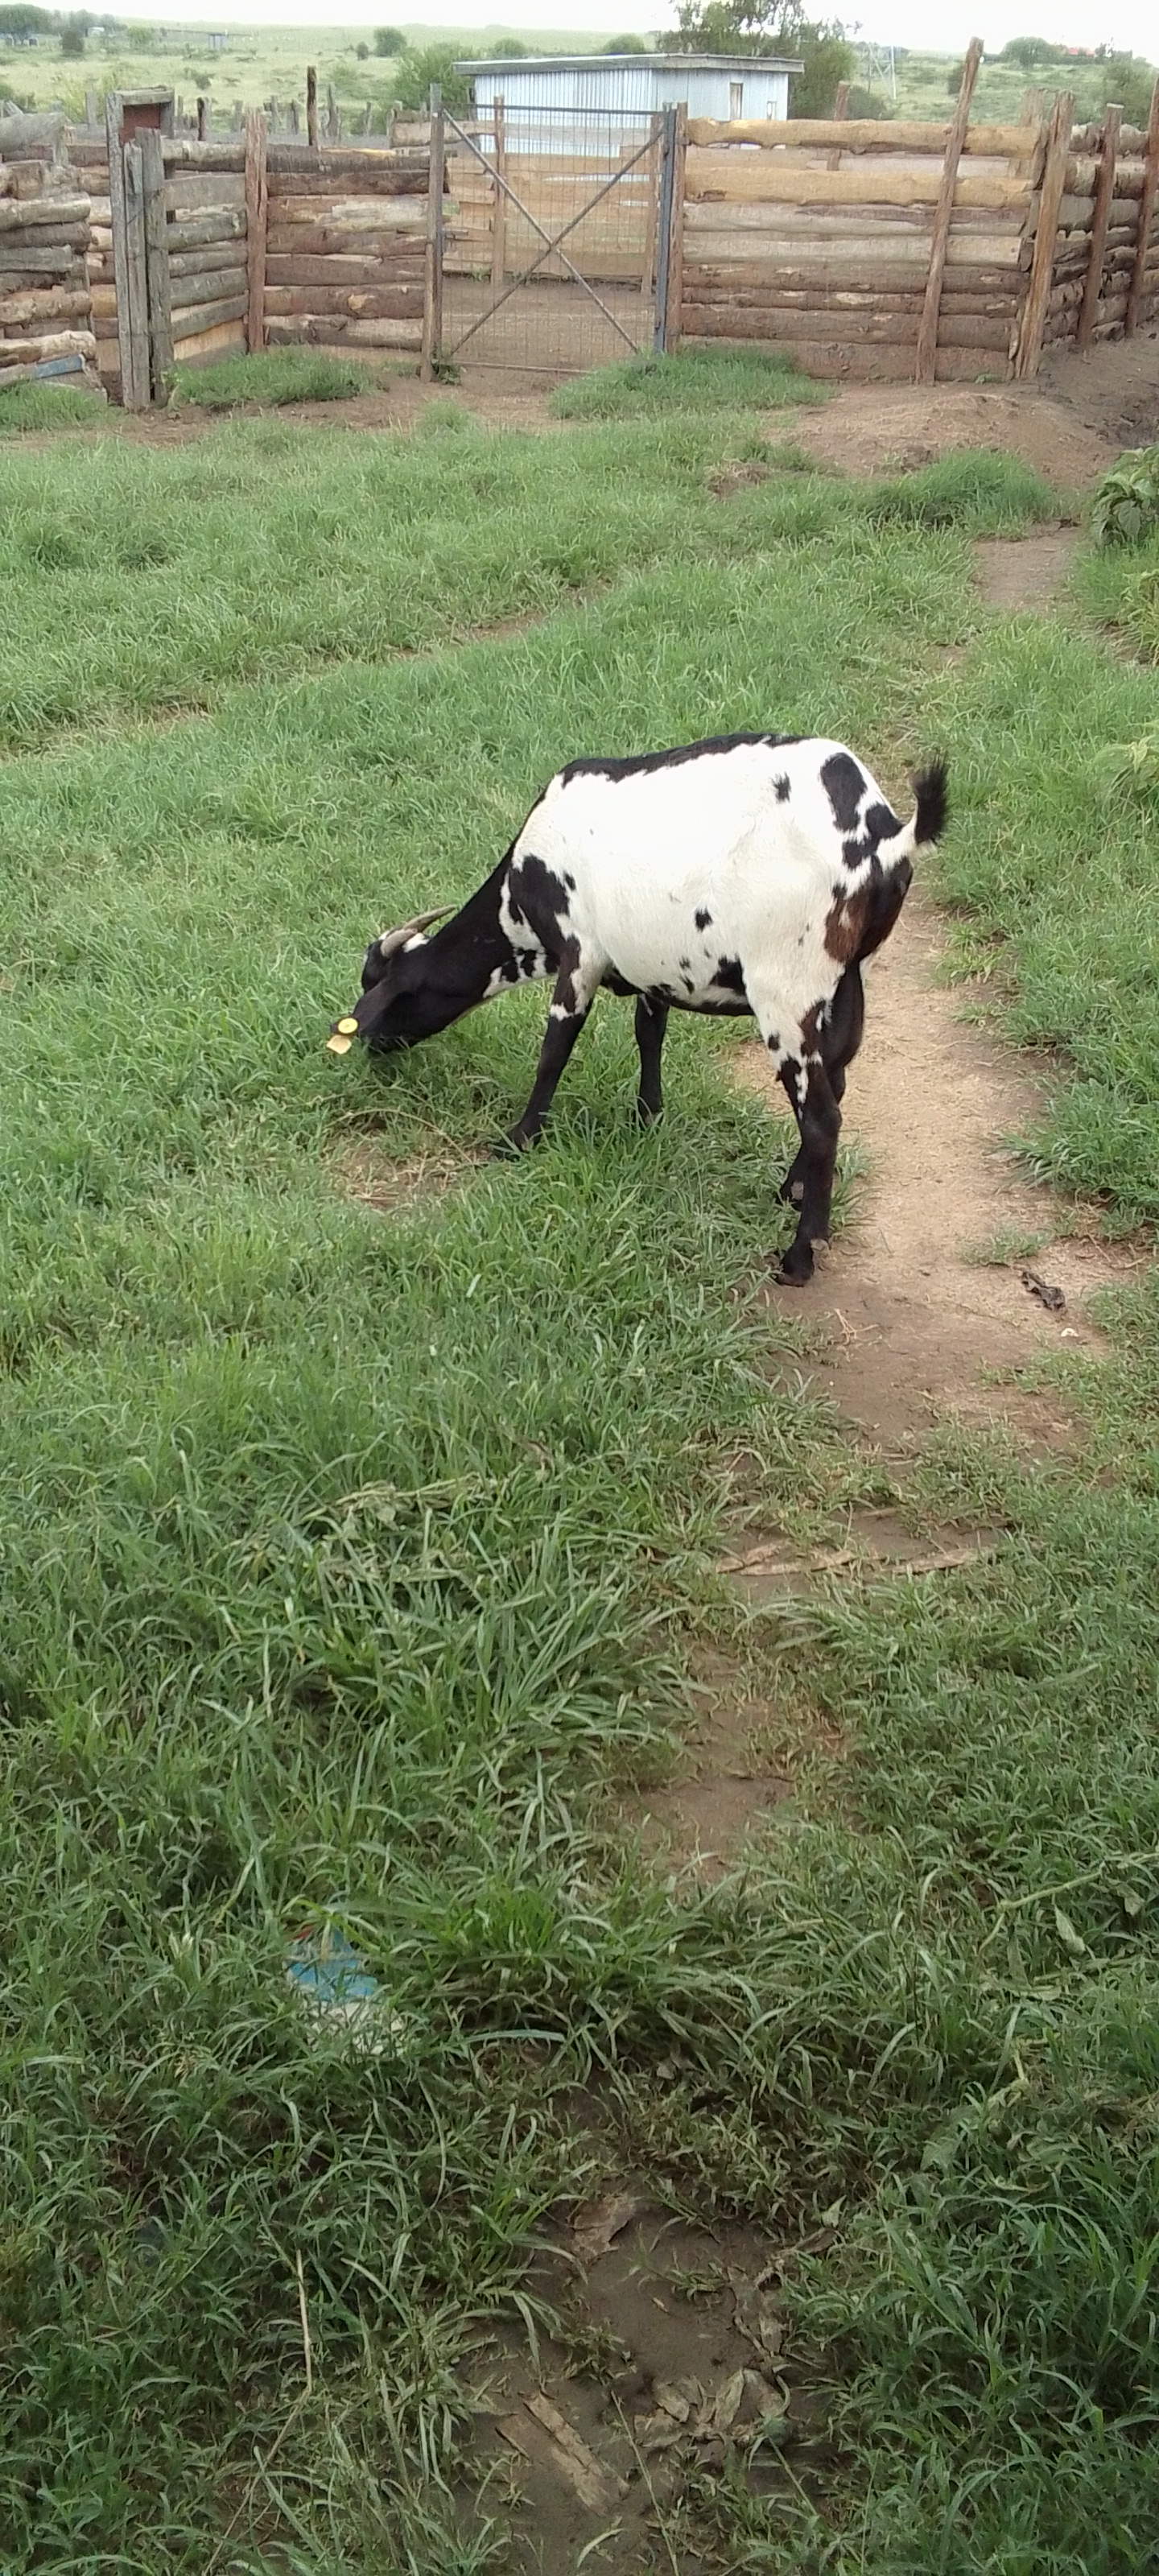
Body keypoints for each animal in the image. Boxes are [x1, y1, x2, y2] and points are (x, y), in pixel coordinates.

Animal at [327, 734, 947, 1283]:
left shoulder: (578, 954)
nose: (370, 1049)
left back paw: (799, 1258)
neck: (522, 886)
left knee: (821, 1117)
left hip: (784, 989)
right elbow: (649, 1033)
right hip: (847, 981)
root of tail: (886, 839)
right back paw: (791, 1193)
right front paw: (647, 1117)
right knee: (835, 1084)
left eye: (387, 990)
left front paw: (518, 1139)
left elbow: (554, 1051)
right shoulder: (654, 968)